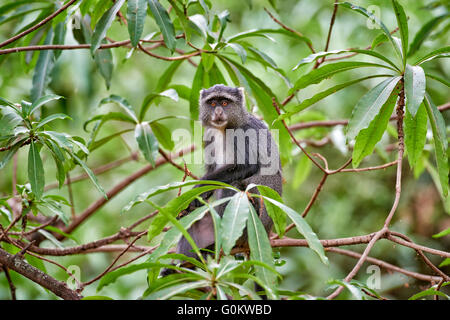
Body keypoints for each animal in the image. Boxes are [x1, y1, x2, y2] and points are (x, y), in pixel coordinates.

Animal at [175, 84, 284, 260]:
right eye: (213, 103)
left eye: (225, 103)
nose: (218, 111)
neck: (223, 129)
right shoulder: (209, 135)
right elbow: (212, 171)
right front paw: (195, 201)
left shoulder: (244, 132)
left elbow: (246, 165)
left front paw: (197, 190)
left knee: (235, 186)